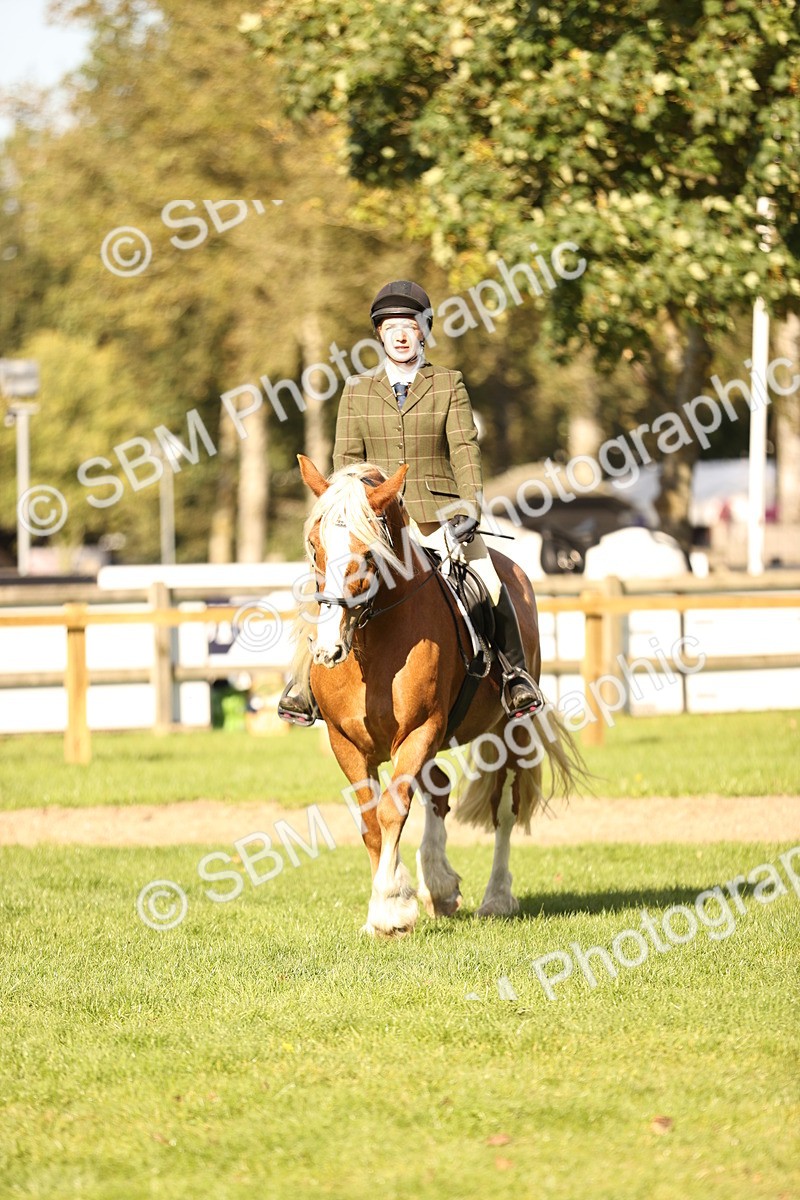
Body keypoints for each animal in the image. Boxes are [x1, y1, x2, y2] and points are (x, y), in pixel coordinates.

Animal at [291, 454, 583, 937]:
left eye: (368, 552)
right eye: (315, 546)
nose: (328, 648)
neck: (373, 644)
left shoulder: (420, 730)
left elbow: (393, 811)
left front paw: (389, 908)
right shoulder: (346, 742)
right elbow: (371, 821)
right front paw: (392, 902)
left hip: (510, 732)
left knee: (504, 809)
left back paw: (496, 897)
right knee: (439, 791)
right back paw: (439, 885)